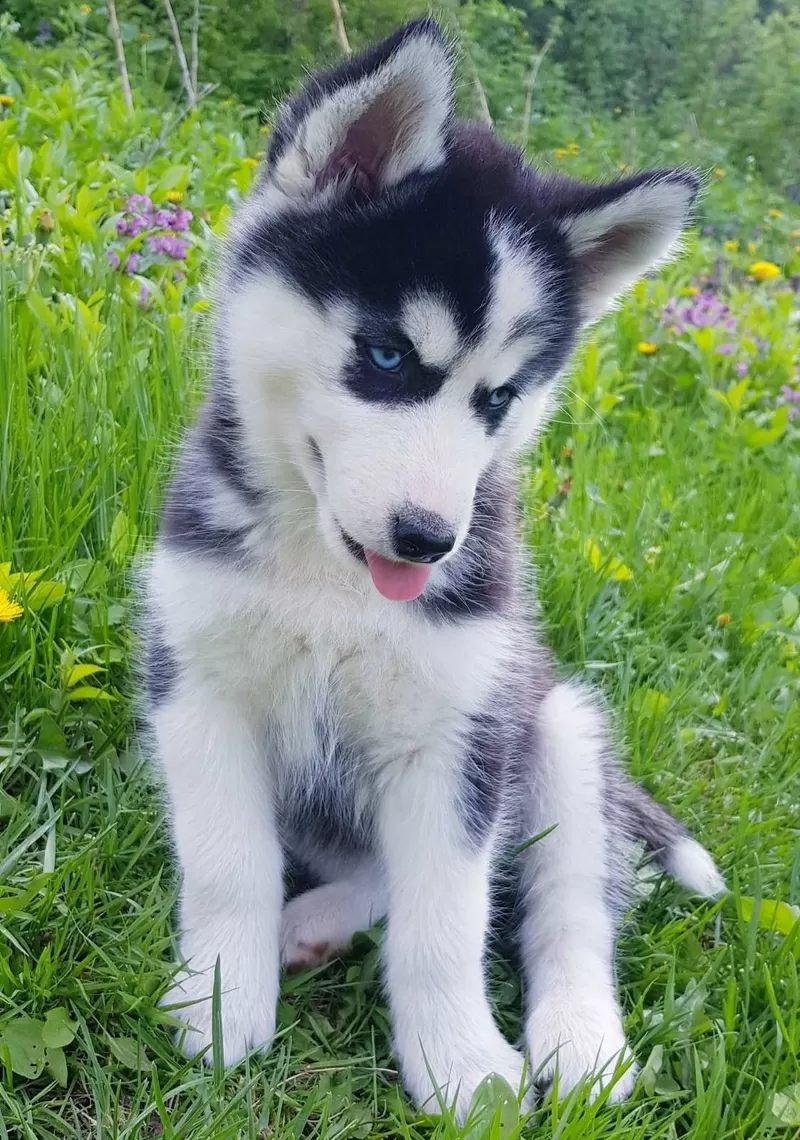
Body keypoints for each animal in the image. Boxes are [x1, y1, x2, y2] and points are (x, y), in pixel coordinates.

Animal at [144, 17, 729, 1121]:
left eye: (498, 399)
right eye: (383, 357)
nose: (428, 541)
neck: (329, 585)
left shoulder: (458, 734)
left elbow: (448, 918)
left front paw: (461, 1065)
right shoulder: (198, 691)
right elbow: (230, 867)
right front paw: (220, 1002)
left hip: (555, 728)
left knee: (563, 908)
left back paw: (582, 1041)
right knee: (390, 873)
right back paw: (311, 923)